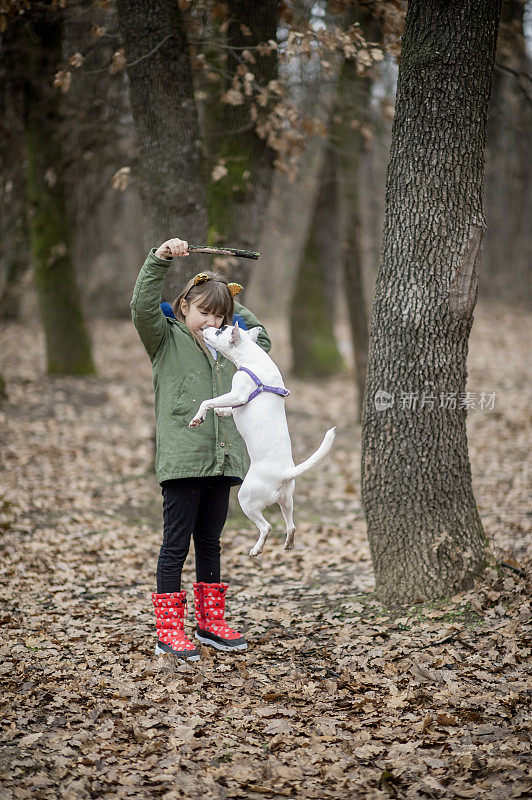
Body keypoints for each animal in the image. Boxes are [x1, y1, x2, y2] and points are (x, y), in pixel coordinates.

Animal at [189, 324, 334, 556]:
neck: (250, 356)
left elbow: (207, 401)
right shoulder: (235, 399)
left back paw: (256, 549)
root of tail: (283, 473)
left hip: (247, 499)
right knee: (291, 525)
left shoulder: (238, 394)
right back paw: (288, 543)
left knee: (266, 527)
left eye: (220, 330)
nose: (206, 327)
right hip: (286, 500)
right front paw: (221, 412)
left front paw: (199, 417)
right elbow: (226, 408)